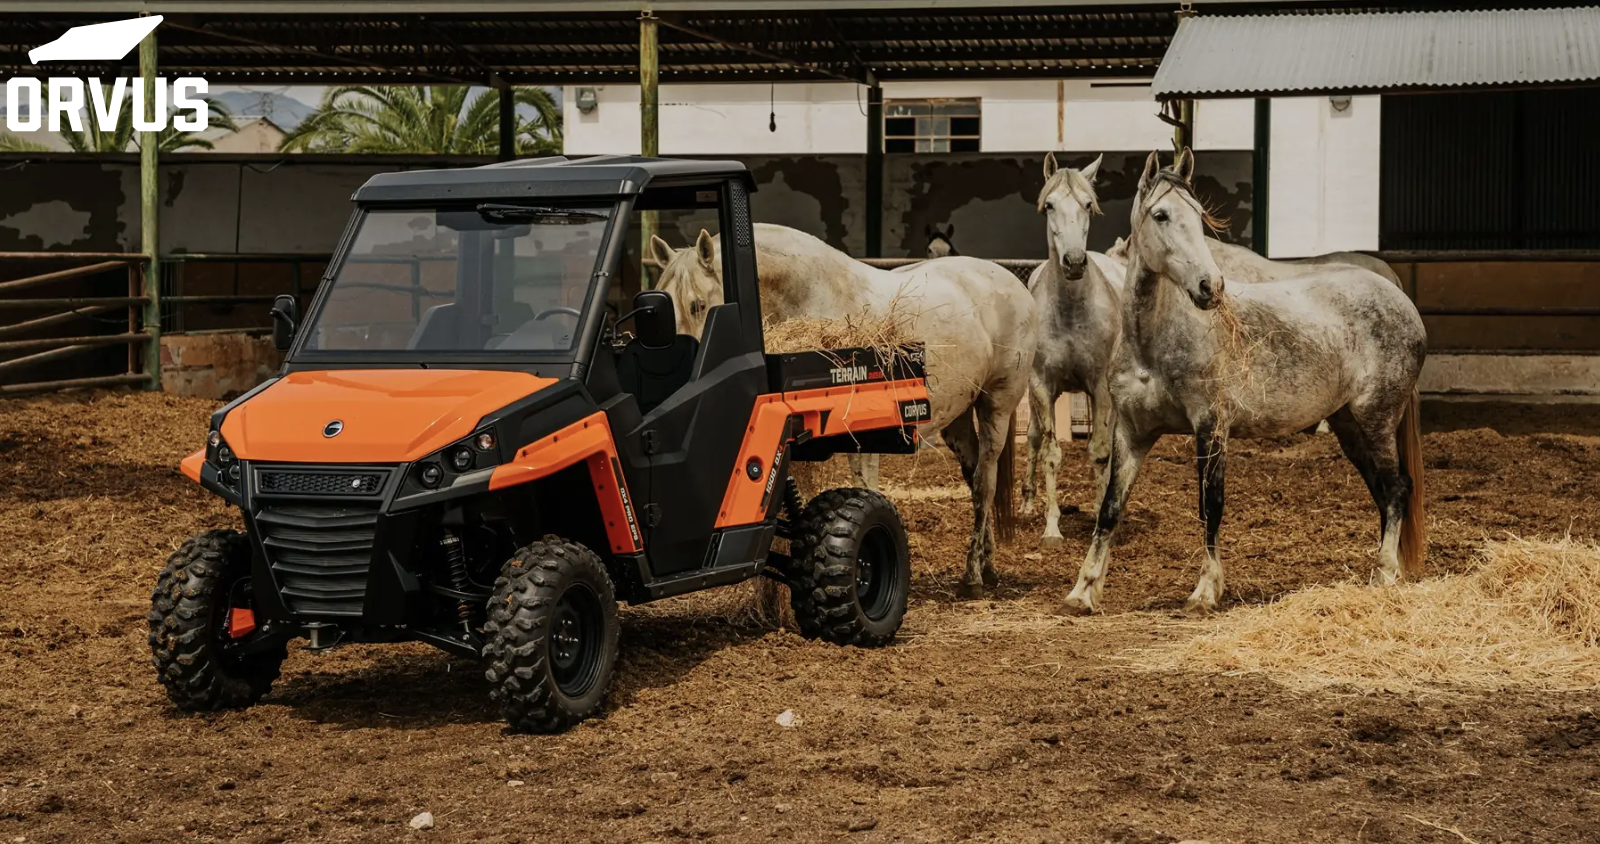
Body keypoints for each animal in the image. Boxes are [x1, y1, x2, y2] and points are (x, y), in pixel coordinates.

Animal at [650, 223, 1038, 598]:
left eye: (698, 305)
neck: (808, 293)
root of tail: (1007, 280)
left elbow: (865, 487)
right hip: (958, 417)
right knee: (977, 482)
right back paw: (987, 566)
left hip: (995, 407)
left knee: (985, 483)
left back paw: (972, 577)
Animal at [1014, 152, 1128, 550]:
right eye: (1049, 205)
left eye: (1087, 205)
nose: (1075, 261)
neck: (1070, 312)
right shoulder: (1041, 387)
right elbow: (1051, 452)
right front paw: (1051, 527)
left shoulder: (1101, 387)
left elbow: (1100, 452)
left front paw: (1100, 518)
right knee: (1033, 439)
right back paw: (1028, 502)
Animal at [1062, 149, 1426, 616]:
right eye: (1161, 215)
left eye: (1198, 216)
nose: (1209, 286)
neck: (1153, 343)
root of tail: (1401, 300)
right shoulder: (1131, 432)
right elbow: (1110, 509)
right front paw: (1083, 590)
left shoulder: (1211, 427)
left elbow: (1210, 506)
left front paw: (1205, 591)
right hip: (1349, 427)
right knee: (1383, 493)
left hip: (1376, 421)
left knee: (1397, 490)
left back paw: (1384, 573)